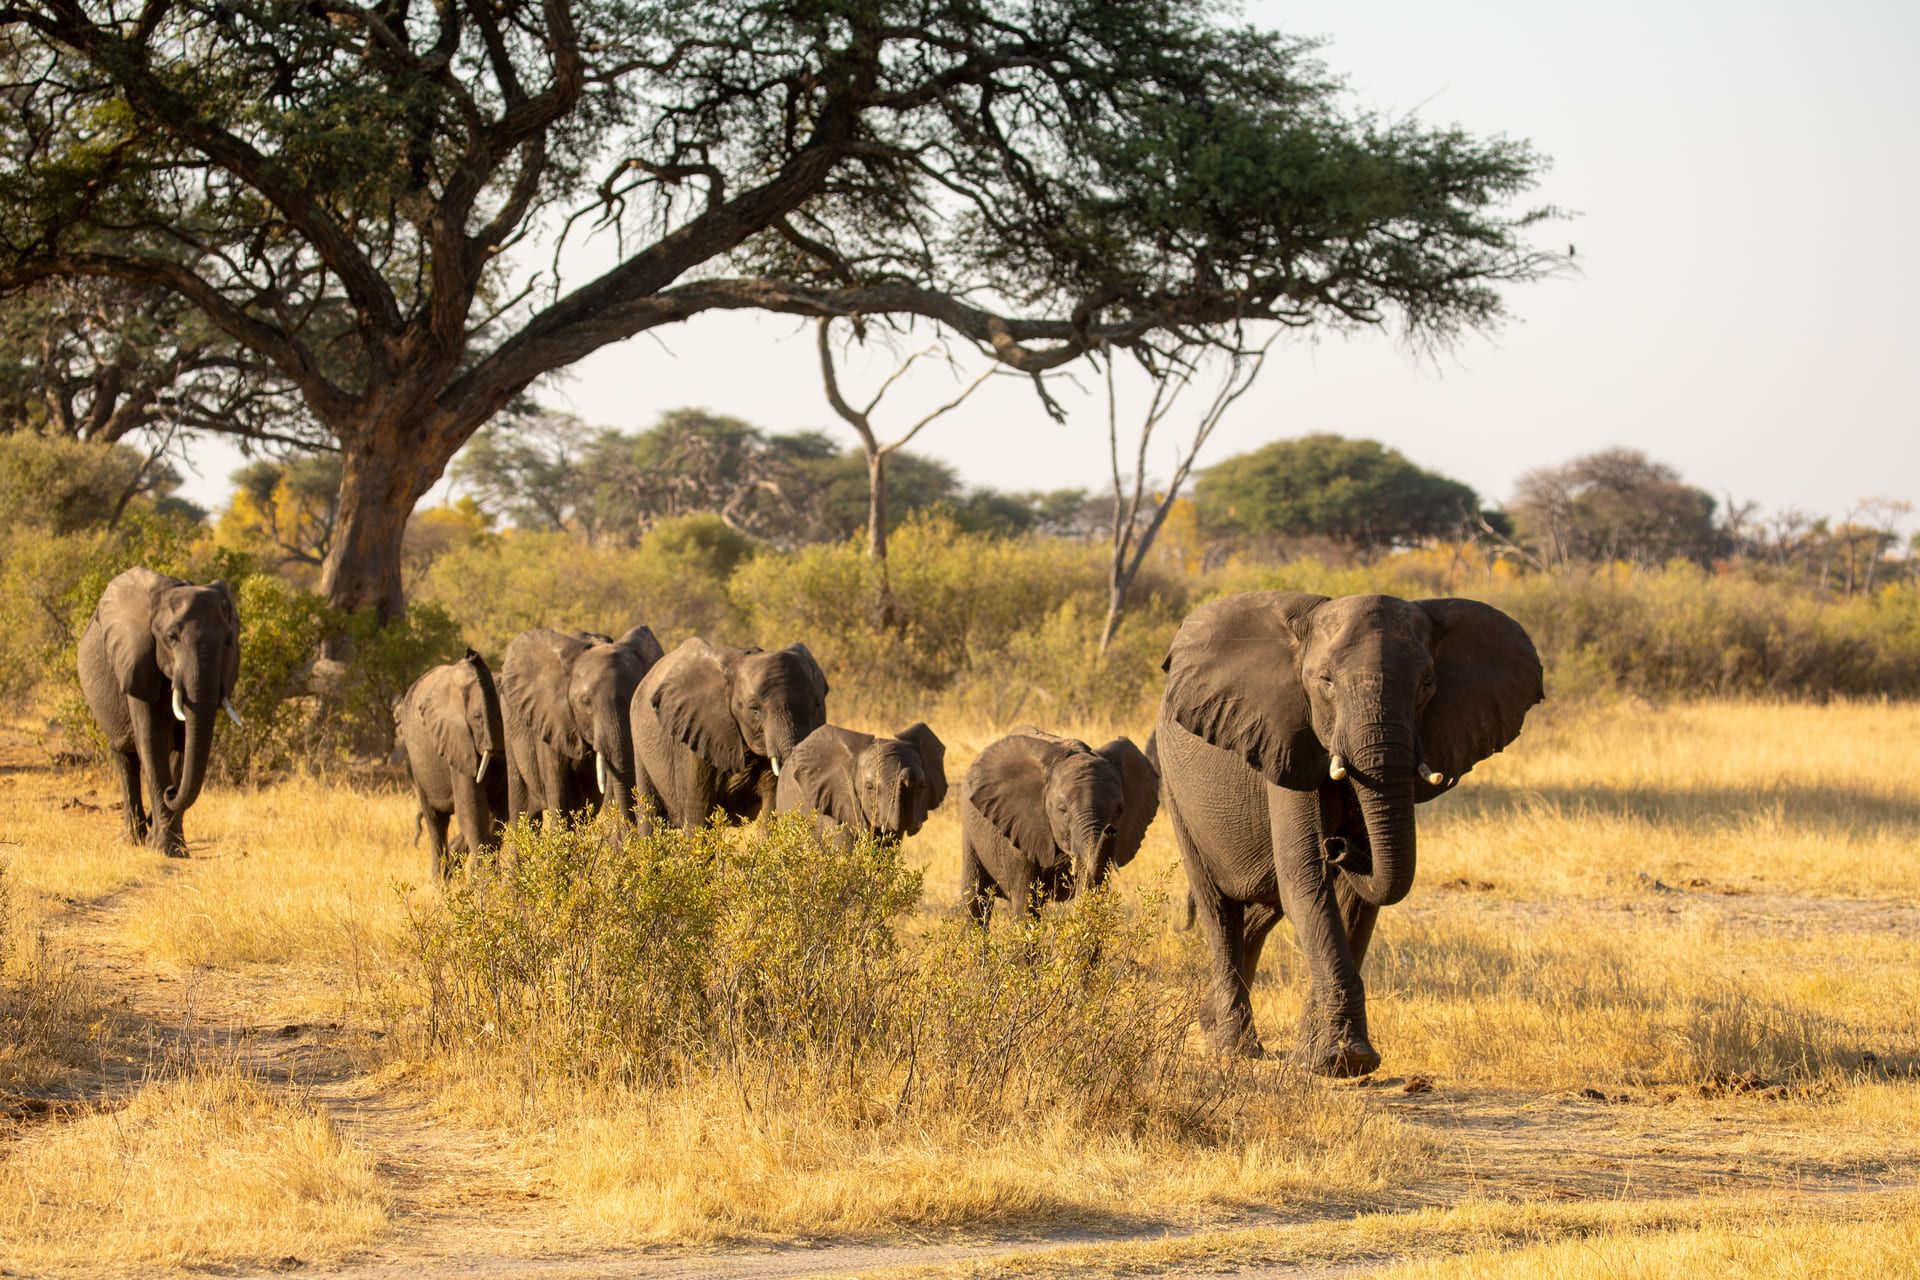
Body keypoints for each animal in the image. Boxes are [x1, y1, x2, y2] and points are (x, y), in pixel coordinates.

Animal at [76, 567, 241, 856]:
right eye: (171, 638)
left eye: (228, 642)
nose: (171, 792)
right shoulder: (137, 661)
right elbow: (152, 740)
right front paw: (164, 849)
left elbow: (184, 747)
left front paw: (173, 847)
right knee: (126, 757)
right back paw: (132, 839)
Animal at [394, 649, 508, 877]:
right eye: (477, 717)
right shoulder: (457, 741)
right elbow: (471, 810)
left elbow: (499, 813)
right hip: (417, 763)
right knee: (436, 821)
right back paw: (440, 882)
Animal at [1157, 591, 1542, 1076]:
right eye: (1325, 682)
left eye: (1427, 685)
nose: (1338, 846)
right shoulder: (1287, 742)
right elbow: (1306, 878)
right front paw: (1344, 1060)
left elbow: (1355, 899)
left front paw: (1328, 1058)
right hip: (1176, 790)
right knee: (1220, 908)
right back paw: (1234, 1048)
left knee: (1264, 909)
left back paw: (1211, 1022)